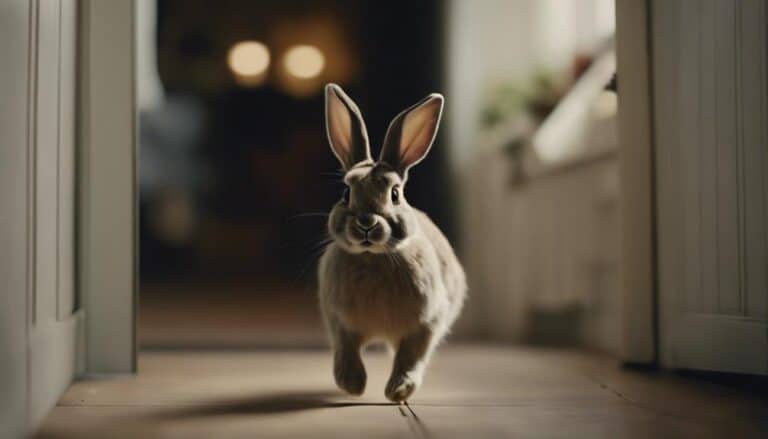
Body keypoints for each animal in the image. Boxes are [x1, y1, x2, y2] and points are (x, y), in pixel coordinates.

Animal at [317, 83, 466, 402]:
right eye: (346, 194)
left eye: (395, 193)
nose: (366, 223)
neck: (373, 256)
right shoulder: (338, 321)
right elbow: (346, 350)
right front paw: (353, 385)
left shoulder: (426, 323)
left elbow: (411, 357)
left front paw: (398, 390)